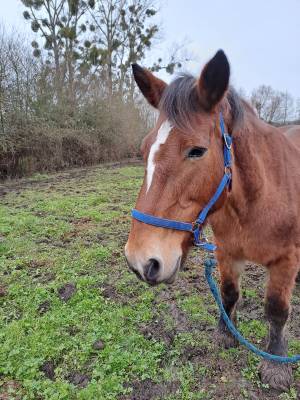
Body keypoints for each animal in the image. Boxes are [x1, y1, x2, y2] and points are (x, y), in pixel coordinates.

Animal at [125, 50, 300, 390]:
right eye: (143, 149)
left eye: (197, 151)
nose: (140, 261)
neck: (255, 202)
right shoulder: (226, 252)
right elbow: (229, 293)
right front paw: (225, 334)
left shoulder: (286, 261)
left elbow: (276, 309)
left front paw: (276, 364)